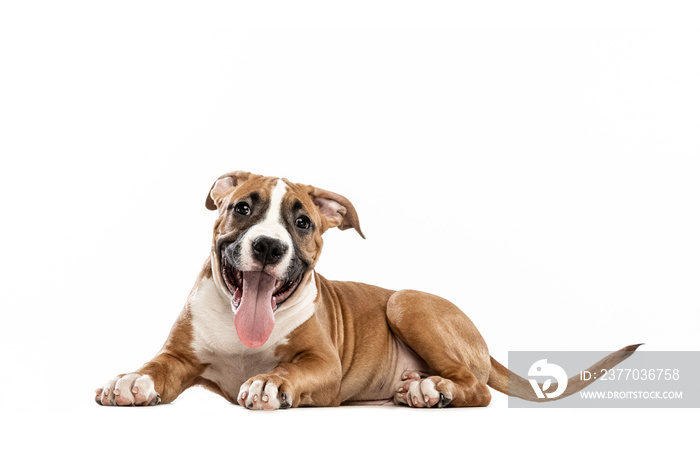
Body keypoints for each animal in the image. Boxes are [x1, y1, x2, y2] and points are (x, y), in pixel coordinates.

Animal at [94, 170, 640, 408]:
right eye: (242, 208)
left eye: (302, 222)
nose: (269, 246)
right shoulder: (181, 356)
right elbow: (157, 365)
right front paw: (131, 380)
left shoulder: (322, 363)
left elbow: (289, 370)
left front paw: (270, 383)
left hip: (406, 302)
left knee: (476, 387)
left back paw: (430, 388)